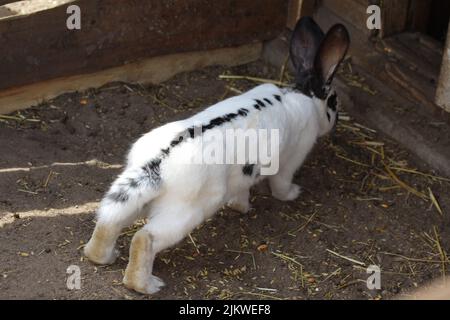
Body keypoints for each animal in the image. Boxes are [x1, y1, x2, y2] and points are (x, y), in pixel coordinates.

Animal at [84, 16, 352, 294]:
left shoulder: (243, 177)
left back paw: (102, 256)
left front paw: (241, 207)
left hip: (135, 199)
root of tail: (156, 166)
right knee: (144, 238)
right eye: (334, 102)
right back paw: (147, 285)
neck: (304, 94)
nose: (337, 121)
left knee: (109, 222)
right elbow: (281, 186)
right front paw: (292, 194)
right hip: (187, 212)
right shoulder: (290, 161)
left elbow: (241, 193)